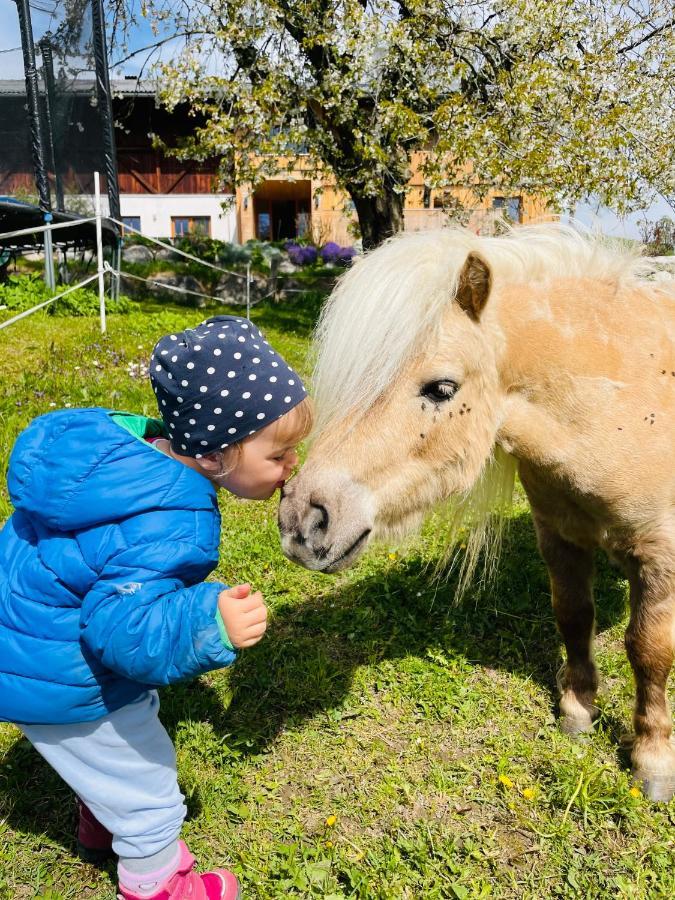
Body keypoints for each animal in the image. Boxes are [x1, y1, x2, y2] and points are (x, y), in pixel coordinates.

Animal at [278, 225, 675, 800]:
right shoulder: (560, 536)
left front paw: (653, 760)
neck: (621, 393)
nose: (303, 520)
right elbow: (574, 616)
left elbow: (649, 651)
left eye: (442, 388)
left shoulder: (660, 557)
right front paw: (578, 710)